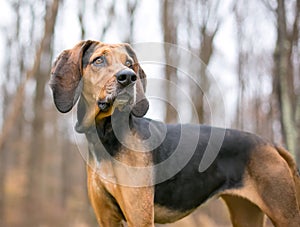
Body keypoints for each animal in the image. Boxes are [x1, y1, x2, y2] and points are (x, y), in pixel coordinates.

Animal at [49, 40, 300, 226]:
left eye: (129, 63)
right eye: (98, 60)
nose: (128, 77)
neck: (107, 136)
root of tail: (270, 144)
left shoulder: (140, 217)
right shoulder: (106, 217)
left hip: (284, 213)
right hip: (245, 212)